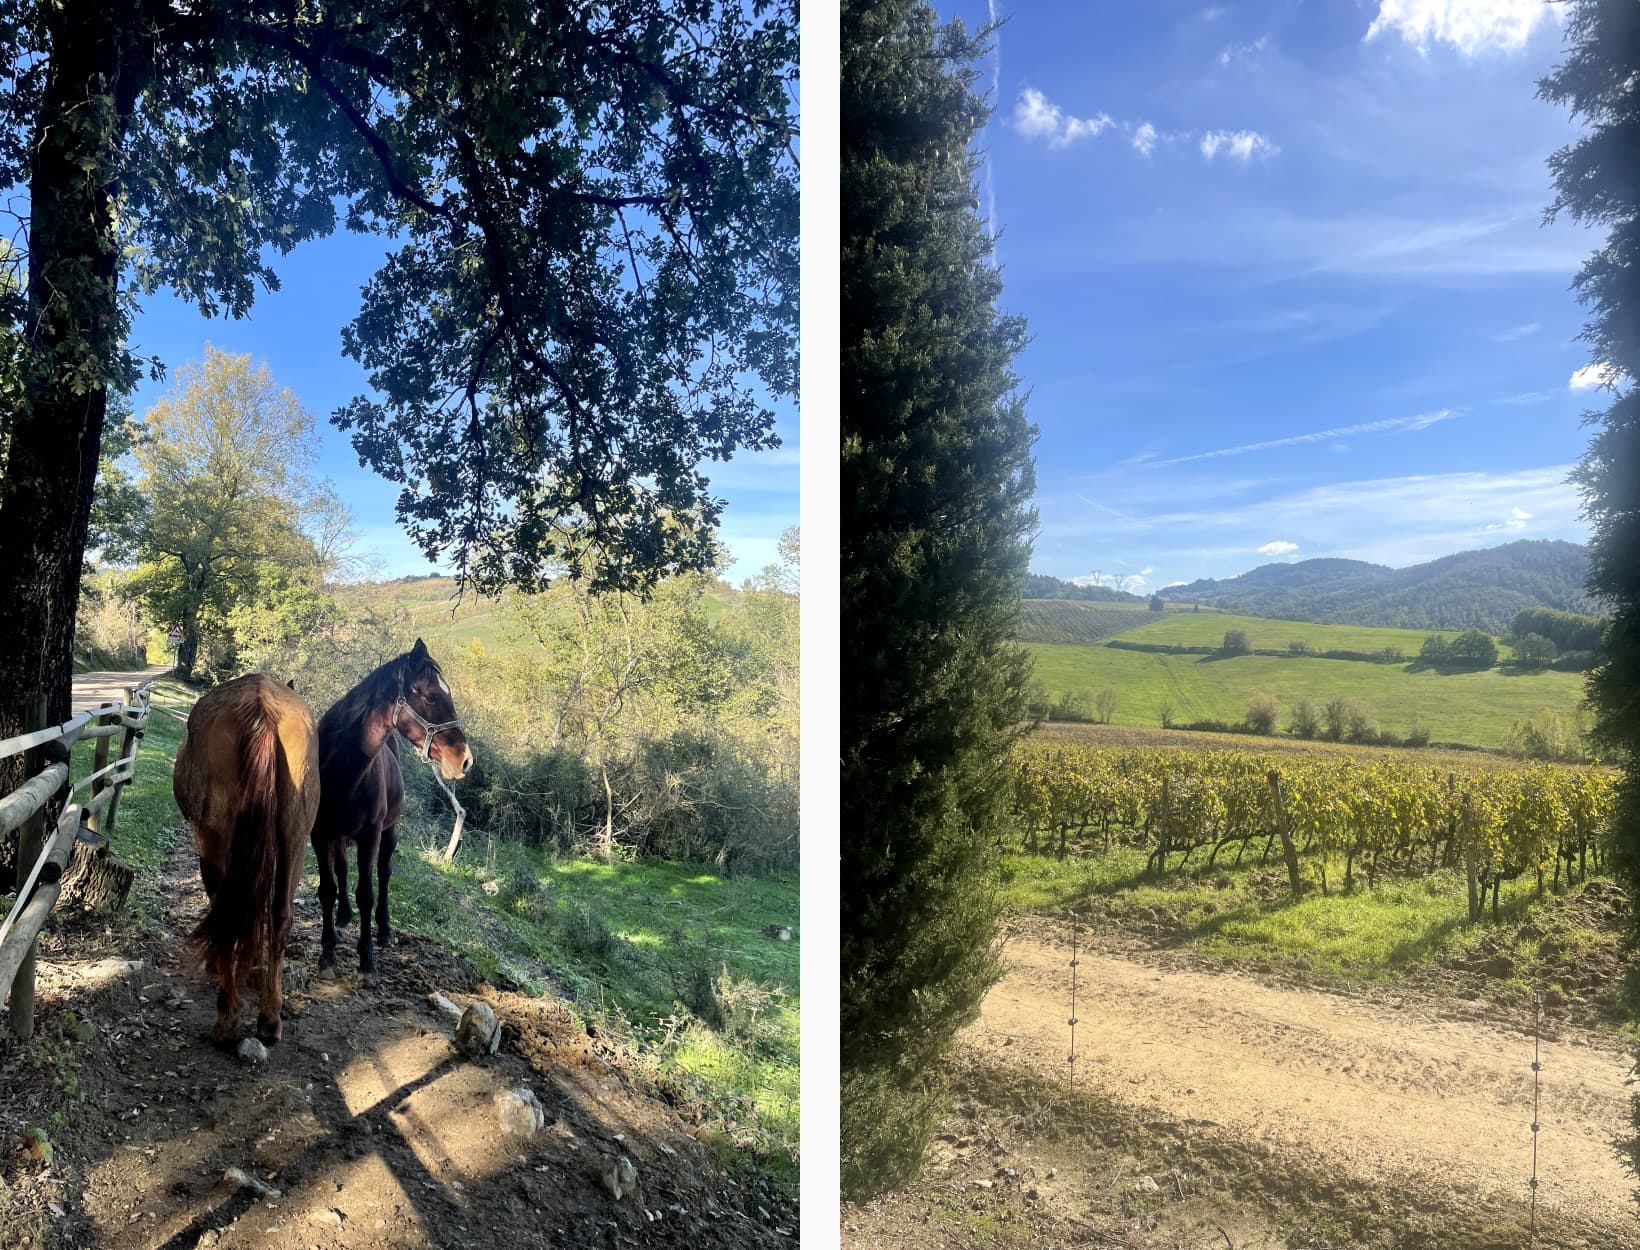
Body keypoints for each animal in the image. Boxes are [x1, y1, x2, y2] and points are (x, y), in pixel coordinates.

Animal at [173, 672, 319, 1043]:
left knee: (225, 913)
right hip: (295, 841)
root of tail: (262, 707)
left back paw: (227, 1017)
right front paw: (252, 969)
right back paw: (270, 1017)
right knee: (279, 916)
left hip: (212, 841)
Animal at [314, 643, 472, 984]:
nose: (466, 760)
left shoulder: (370, 835)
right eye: (430, 697)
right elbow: (327, 889)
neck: (340, 770)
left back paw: (384, 931)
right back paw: (343, 917)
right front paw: (328, 954)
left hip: (389, 833)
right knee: (343, 870)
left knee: (384, 874)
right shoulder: (319, 834)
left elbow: (367, 893)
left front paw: (366, 962)